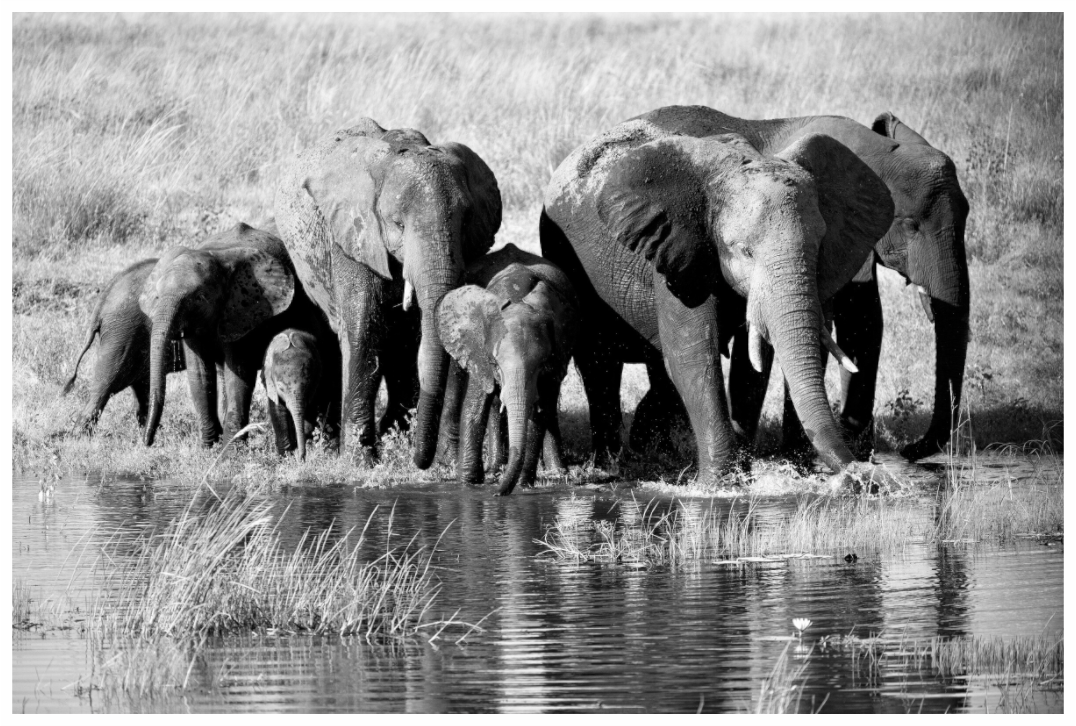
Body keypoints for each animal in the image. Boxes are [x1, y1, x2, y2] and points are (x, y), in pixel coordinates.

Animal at [262, 328, 331, 461]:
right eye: (280, 388)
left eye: (308, 385)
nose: (301, 459)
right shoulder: (271, 386)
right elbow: (278, 412)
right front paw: (285, 459)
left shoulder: (317, 382)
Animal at [274, 119, 502, 468]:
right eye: (398, 224)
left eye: (465, 222)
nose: (425, 462)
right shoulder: (352, 235)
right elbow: (364, 330)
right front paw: (360, 462)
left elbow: (413, 336)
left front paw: (414, 447)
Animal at [436, 243, 579, 495]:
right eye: (495, 364)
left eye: (542, 364)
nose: (496, 494)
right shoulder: (479, 350)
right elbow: (474, 408)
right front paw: (468, 486)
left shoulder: (557, 353)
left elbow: (538, 414)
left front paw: (522, 487)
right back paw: (496, 471)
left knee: (549, 405)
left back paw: (556, 473)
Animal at [540, 109, 897, 489]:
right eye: (743, 250)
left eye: (818, 247)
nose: (862, 475)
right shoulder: (679, 247)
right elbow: (693, 353)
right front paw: (721, 484)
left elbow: (752, 361)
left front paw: (742, 474)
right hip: (566, 257)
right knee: (599, 364)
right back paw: (609, 467)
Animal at [619, 107, 970, 463]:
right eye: (910, 225)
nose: (908, 450)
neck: (874, 147)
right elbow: (844, 321)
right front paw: (801, 455)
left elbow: (864, 321)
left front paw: (845, 448)